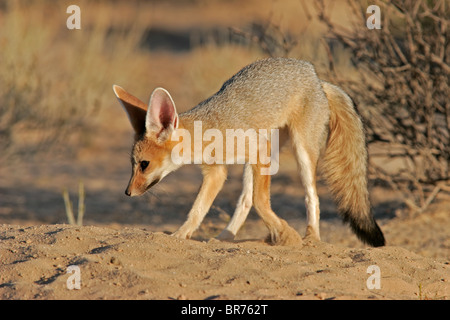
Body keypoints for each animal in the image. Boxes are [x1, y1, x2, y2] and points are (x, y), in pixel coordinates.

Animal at [112, 58, 384, 248]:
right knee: (244, 199)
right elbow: (199, 209)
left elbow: (261, 201)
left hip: (299, 153)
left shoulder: (259, 152)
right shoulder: (216, 171)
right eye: (132, 164)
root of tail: (315, 76)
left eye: (144, 164)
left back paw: (311, 237)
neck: (211, 131)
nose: (127, 192)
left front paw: (286, 234)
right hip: (260, 157)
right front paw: (181, 234)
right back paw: (225, 236)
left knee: (311, 197)